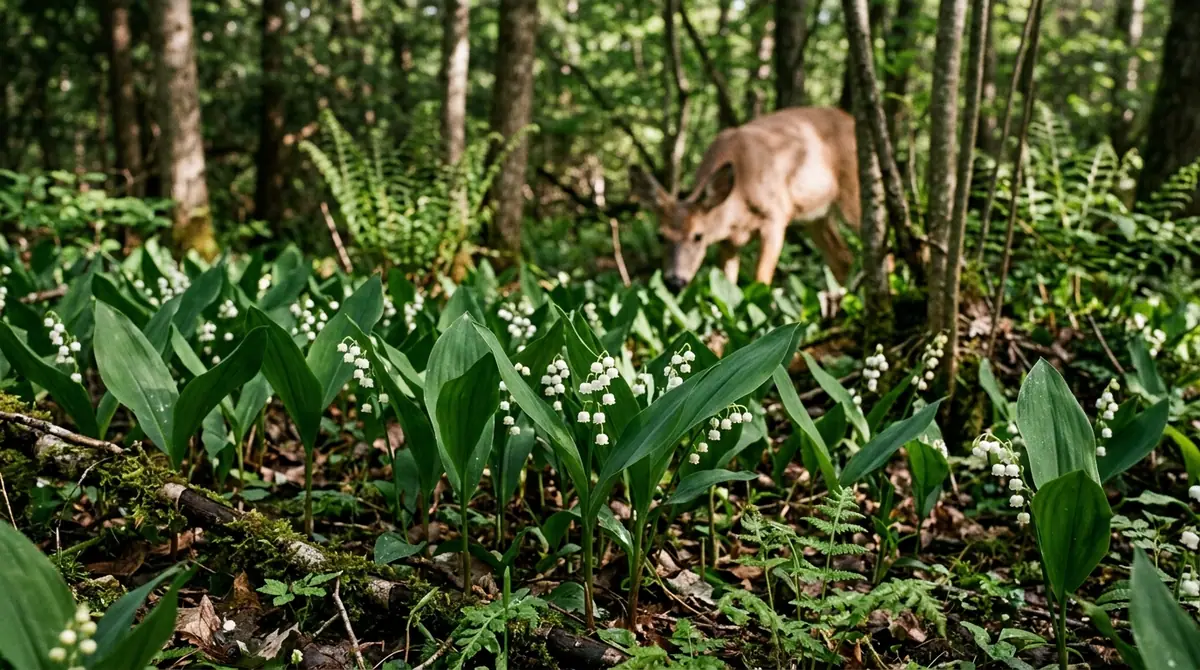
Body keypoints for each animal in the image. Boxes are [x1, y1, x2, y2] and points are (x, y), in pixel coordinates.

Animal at [630, 106, 861, 291]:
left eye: (698, 236)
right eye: (660, 236)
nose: (675, 282)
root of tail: (850, 118)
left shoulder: (776, 218)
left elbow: (761, 281)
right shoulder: (727, 241)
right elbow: (728, 286)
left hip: (853, 195)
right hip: (815, 217)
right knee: (842, 258)